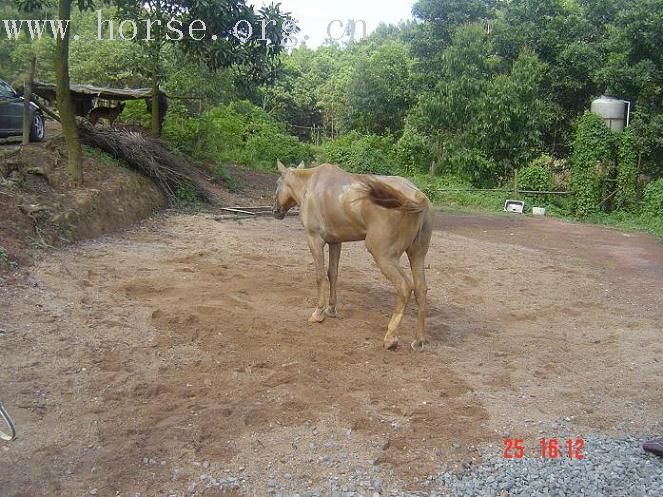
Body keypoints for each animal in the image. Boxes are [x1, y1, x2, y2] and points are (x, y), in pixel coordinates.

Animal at [272, 161, 434, 350]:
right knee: (421, 289)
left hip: (384, 255)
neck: (311, 186)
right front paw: (331, 309)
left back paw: (390, 337)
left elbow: (320, 276)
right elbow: (332, 274)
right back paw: (419, 340)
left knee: (405, 287)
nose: (275, 210)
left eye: (277, 182)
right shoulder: (335, 242)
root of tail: (416, 196)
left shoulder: (315, 240)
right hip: (417, 254)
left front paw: (318, 313)